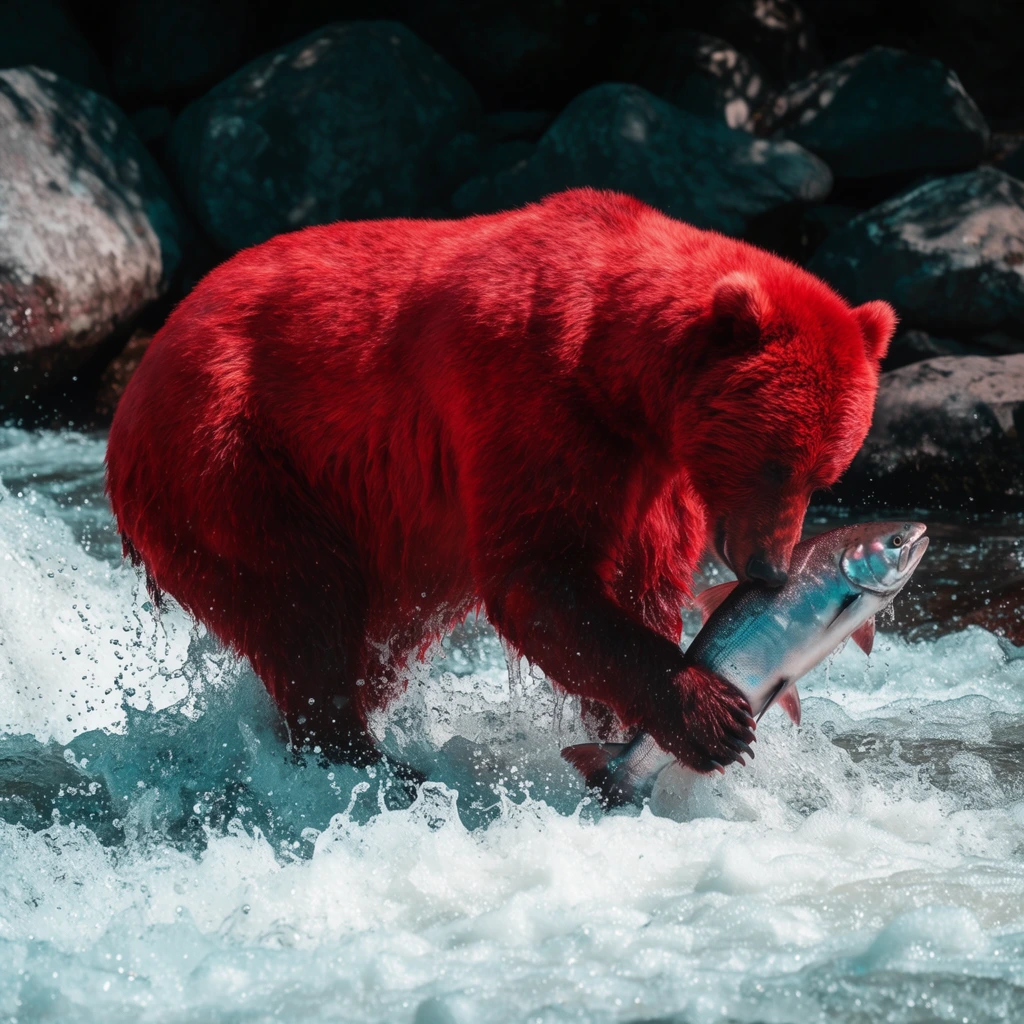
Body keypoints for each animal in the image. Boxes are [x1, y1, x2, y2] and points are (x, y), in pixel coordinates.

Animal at [105, 189, 895, 776]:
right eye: (773, 461)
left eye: (827, 472)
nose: (771, 570)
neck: (618, 372)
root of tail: (148, 360)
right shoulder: (532, 401)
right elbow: (540, 578)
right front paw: (707, 715)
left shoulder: (651, 477)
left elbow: (640, 584)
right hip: (232, 456)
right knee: (302, 600)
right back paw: (365, 757)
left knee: (379, 632)